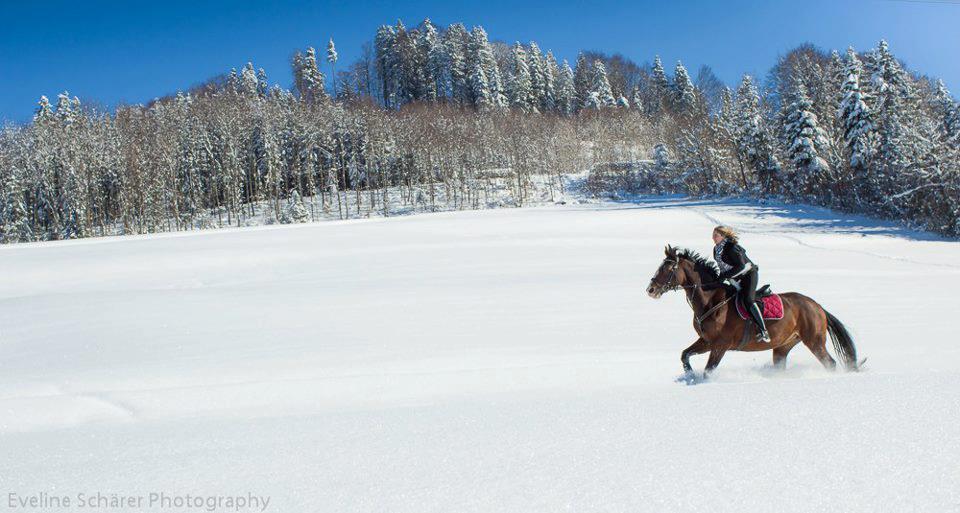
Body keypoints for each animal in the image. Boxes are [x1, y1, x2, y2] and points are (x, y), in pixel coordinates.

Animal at [648, 244, 860, 376]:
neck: (711, 301)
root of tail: (817, 306)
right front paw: (690, 375)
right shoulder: (706, 341)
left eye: (668, 269)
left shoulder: (720, 345)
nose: (650, 290)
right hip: (783, 346)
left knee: (830, 363)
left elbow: (708, 371)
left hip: (814, 341)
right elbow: (684, 355)